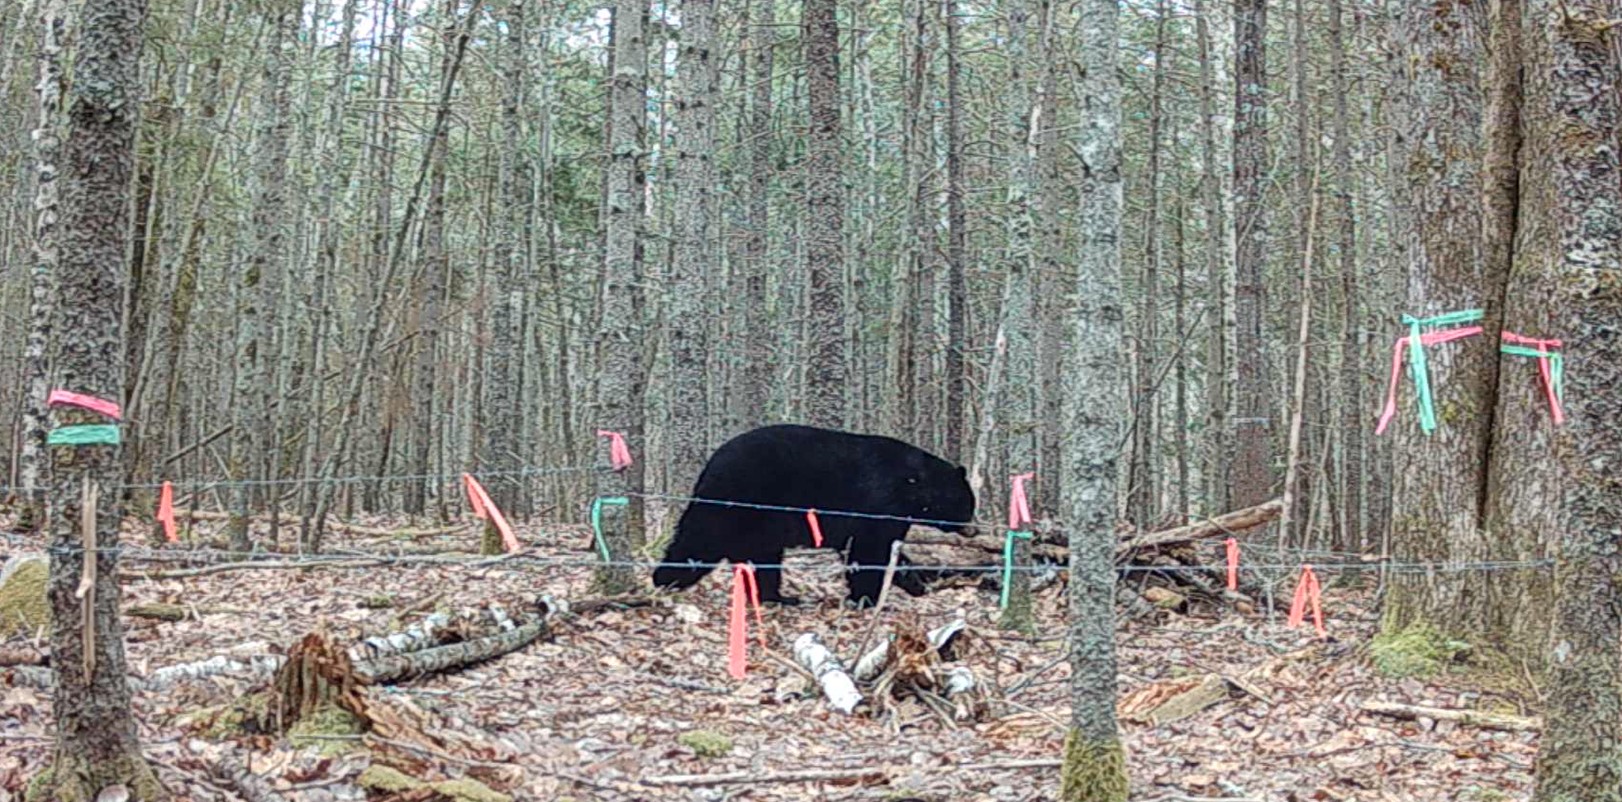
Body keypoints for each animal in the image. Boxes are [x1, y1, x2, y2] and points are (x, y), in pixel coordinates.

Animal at [651, 424, 977, 606]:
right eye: (968, 504)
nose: (975, 529)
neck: (913, 486)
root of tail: (710, 465)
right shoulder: (877, 505)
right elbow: (870, 552)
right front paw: (867, 598)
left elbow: (886, 552)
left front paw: (916, 583)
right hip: (738, 502)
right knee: (701, 536)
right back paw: (664, 578)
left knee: (759, 559)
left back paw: (778, 596)